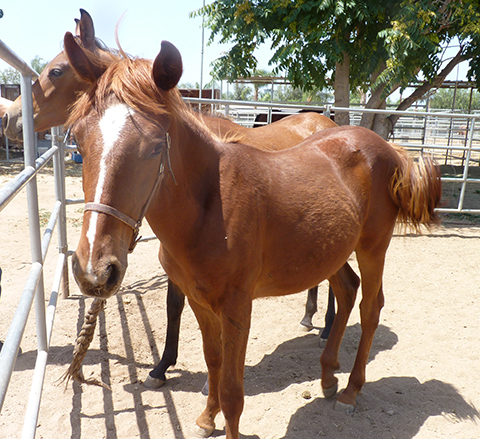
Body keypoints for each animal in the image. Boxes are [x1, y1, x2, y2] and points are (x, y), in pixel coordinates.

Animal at [3, 9, 340, 388]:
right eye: (79, 137)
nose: (10, 118)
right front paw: (162, 366)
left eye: (56, 71)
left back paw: (327, 326)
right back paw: (309, 316)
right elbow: (174, 304)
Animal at [64, 35, 442, 439]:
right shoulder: (199, 300)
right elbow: (213, 362)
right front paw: (206, 417)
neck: (211, 208)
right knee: (346, 290)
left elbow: (233, 391)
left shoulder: (237, 306)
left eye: (154, 146)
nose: (95, 270)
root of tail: (388, 148)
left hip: (373, 248)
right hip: (329, 253)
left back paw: (350, 391)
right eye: (79, 139)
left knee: (371, 308)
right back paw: (327, 377)